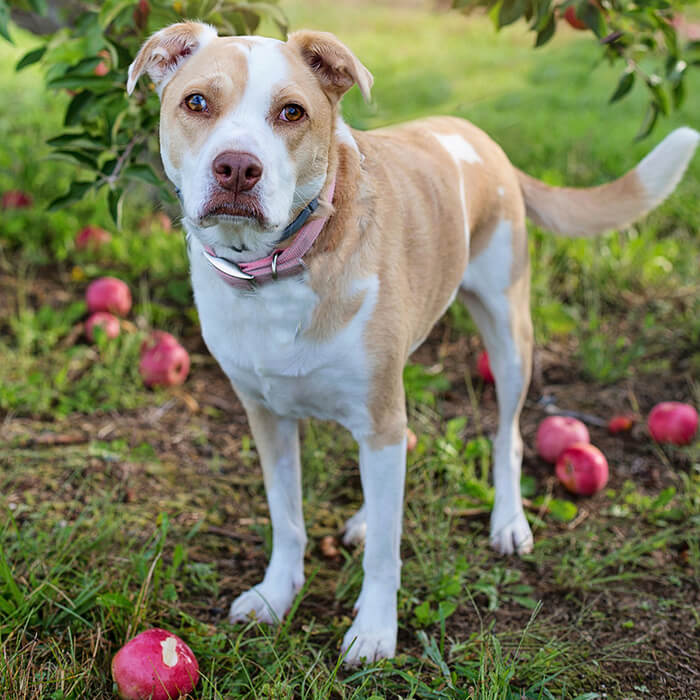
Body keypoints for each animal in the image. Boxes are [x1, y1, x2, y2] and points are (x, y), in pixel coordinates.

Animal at [127, 21, 700, 664]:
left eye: (292, 112)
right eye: (196, 102)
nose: (236, 168)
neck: (277, 271)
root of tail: (477, 135)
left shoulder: (378, 417)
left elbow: (385, 553)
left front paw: (375, 630)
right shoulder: (267, 415)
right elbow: (288, 517)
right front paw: (277, 595)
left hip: (508, 334)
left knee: (507, 438)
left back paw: (508, 521)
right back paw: (366, 517)